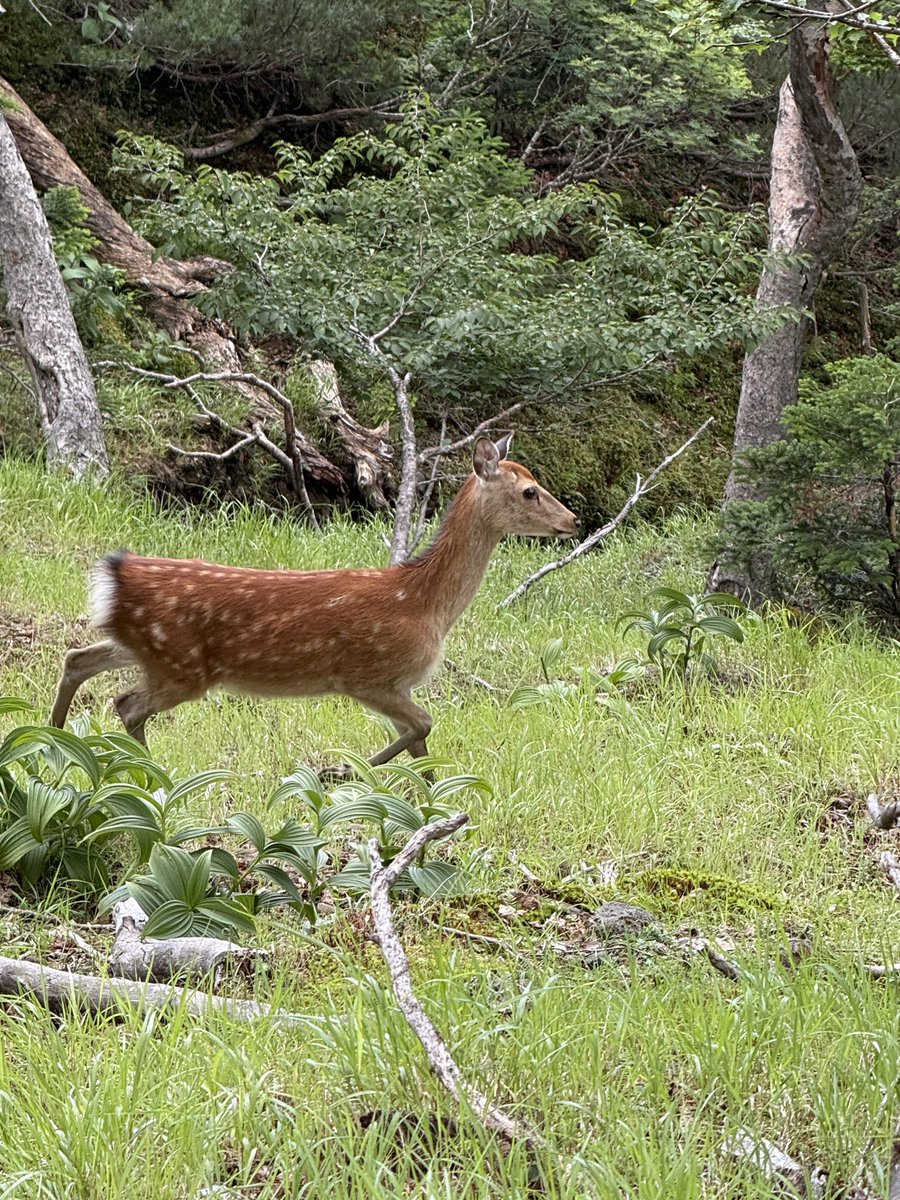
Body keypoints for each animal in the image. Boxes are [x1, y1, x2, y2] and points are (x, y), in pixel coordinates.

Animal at [50, 435, 577, 770]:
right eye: (529, 490)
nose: (572, 521)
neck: (423, 604)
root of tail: (114, 576)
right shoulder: (366, 675)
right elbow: (424, 726)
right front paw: (343, 773)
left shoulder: (396, 685)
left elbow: (420, 744)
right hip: (182, 669)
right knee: (126, 704)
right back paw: (149, 775)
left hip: (147, 648)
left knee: (78, 659)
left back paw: (50, 742)